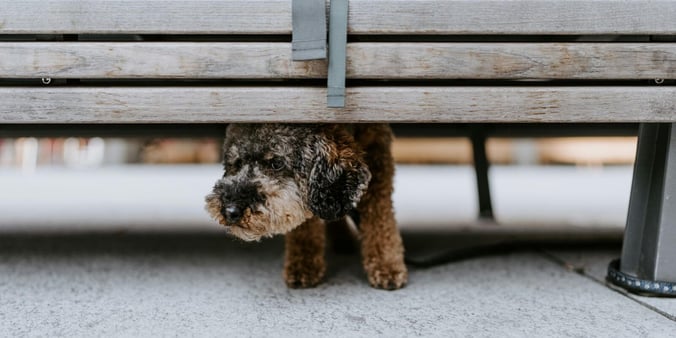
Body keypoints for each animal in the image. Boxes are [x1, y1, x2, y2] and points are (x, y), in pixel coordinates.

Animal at [205, 124, 406, 290]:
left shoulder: (378, 162)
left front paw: (387, 265)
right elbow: (305, 224)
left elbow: (379, 218)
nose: (230, 211)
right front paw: (303, 265)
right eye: (237, 163)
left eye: (276, 163)